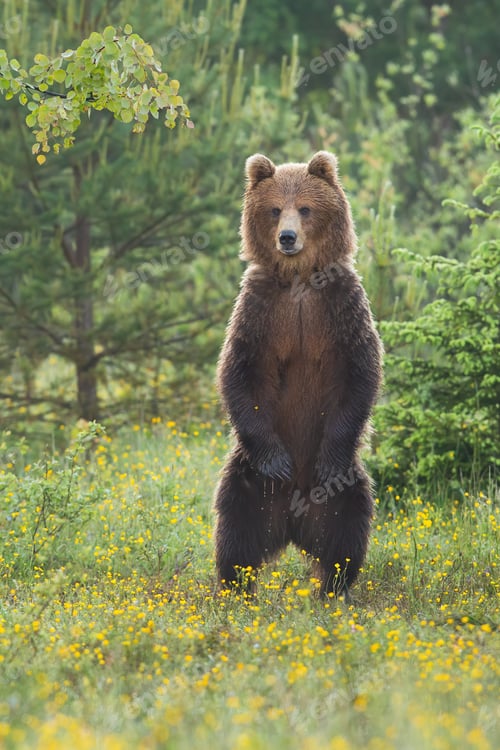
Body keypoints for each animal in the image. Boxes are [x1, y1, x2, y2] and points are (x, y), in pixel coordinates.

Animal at [214, 151, 383, 597]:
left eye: (305, 208)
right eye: (275, 209)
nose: (287, 237)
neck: (300, 281)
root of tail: (292, 523)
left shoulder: (341, 306)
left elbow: (362, 372)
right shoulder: (260, 310)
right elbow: (237, 372)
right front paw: (277, 462)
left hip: (344, 488)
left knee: (347, 528)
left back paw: (334, 588)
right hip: (248, 478)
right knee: (235, 527)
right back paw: (235, 588)